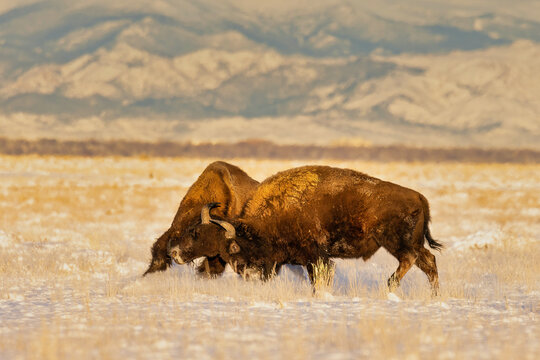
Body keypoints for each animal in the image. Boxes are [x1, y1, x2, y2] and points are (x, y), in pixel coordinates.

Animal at [170, 166, 442, 296]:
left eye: (196, 234)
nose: (174, 253)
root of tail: (419, 197)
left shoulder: (316, 257)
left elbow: (319, 278)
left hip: (395, 241)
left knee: (411, 259)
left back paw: (390, 284)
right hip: (412, 243)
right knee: (428, 261)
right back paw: (434, 295)